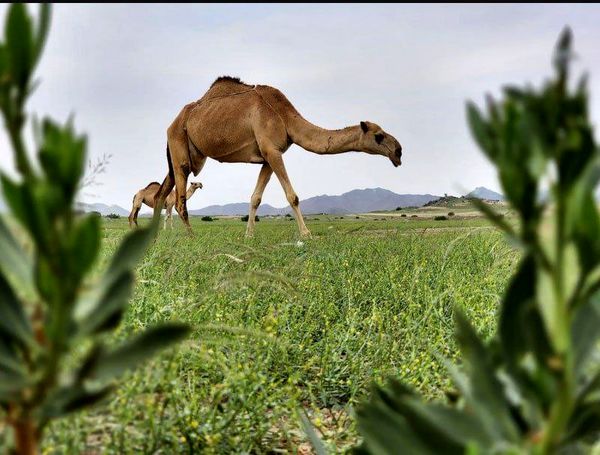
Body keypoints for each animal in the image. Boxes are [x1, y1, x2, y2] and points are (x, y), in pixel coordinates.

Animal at [154, 76, 404, 237]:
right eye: (379, 136)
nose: (399, 151)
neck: (285, 116)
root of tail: (172, 123)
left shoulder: (268, 157)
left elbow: (255, 197)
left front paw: (249, 235)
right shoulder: (272, 150)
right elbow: (292, 196)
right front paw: (306, 233)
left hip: (182, 153)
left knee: (161, 193)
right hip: (180, 146)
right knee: (179, 199)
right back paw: (190, 236)